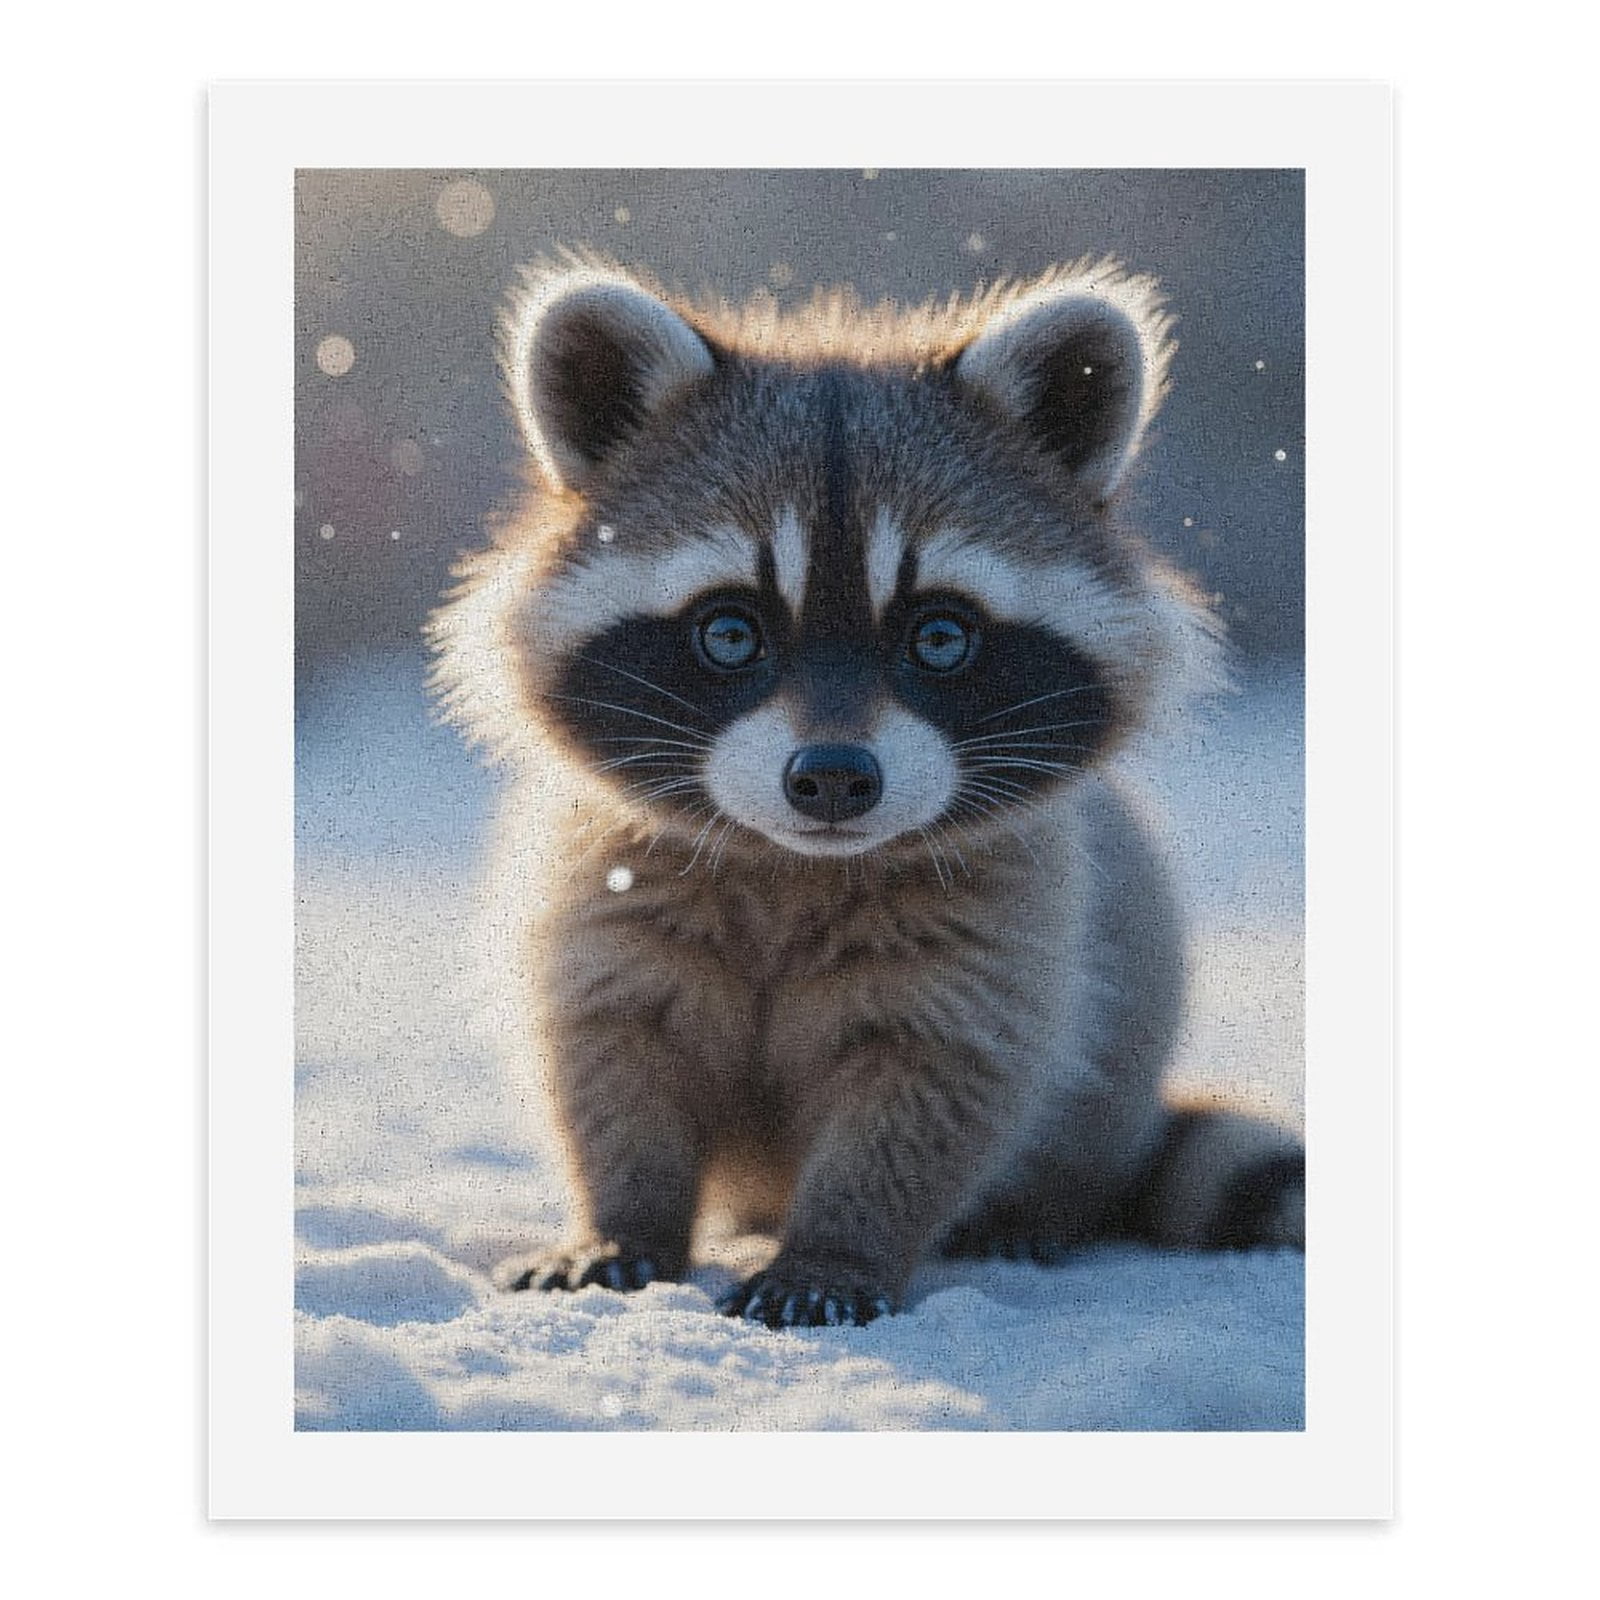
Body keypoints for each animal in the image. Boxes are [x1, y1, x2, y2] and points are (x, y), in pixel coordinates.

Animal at [428, 253, 1304, 1328]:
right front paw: (623, 1216)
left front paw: (837, 1246)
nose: (834, 778)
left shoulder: (1006, 920)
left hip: (1127, 987)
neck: (790, 861)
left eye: (941, 636)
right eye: (730, 632)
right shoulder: (600, 885)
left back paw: (1031, 1211)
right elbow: (608, 1055)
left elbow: (933, 1088)